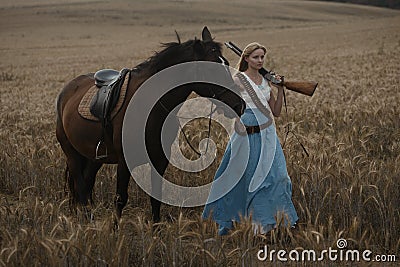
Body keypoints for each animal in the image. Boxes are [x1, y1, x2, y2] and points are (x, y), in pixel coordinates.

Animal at [54, 27, 245, 224]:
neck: (149, 105)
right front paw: (114, 228)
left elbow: (155, 197)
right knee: (80, 186)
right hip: (72, 153)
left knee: (86, 183)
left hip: (93, 157)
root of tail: (66, 91)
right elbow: (120, 198)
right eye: (211, 67)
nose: (239, 104)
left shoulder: (159, 159)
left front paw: (156, 227)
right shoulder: (124, 161)